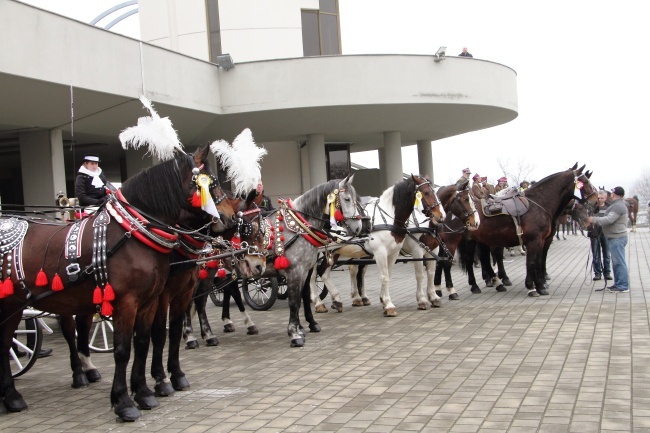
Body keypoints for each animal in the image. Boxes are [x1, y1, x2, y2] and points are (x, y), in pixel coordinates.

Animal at [0, 146, 223, 418]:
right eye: (209, 184)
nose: (230, 219)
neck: (132, 236)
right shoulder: (129, 303)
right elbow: (125, 349)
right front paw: (125, 401)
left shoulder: (153, 300)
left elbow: (144, 342)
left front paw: (145, 392)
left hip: (21, 305)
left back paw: (18, 395)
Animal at [454, 164, 596, 296]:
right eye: (585, 182)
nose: (595, 201)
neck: (539, 203)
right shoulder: (535, 240)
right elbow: (533, 262)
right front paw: (533, 287)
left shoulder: (542, 240)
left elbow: (539, 261)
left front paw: (540, 284)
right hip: (471, 241)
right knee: (470, 260)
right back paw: (476, 285)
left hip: (482, 240)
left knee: (485, 260)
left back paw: (497, 283)